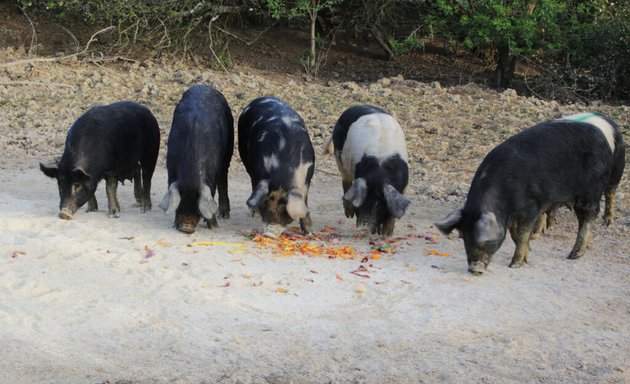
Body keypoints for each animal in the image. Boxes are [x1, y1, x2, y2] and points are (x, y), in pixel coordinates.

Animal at [159, 85, 236, 232]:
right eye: (180, 205)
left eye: (197, 208)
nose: (186, 228)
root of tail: (204, 85)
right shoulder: (170, 167)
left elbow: (212, 191)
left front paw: (214, 227)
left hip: (229, 148)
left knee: (224, 179)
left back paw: (224, 216)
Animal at [237, 95, 316, 237]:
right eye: (264, 205)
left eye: (284, 210)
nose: (269, 234)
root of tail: (262, 97)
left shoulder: (307, 177)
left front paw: (309, 233)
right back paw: (253, 213)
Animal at [328, 105, 412, 237]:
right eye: (360, 204)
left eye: (380, 207)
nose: (363, 230)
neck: (379, 173)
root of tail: (356, 106)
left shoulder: (403, 186)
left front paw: (386, 233)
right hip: (339, 153)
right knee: (346, 180)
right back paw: (348, 214)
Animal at [440, 112, 628, 274]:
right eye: (464, 237)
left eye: (484, 239)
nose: (474, 268)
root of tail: (605, 122)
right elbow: (515, 232)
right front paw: (527, 256)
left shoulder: (531, 205)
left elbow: (522, 233)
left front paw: (515, 265)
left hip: (601, 181)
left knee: (597, 206)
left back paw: (578, 251)